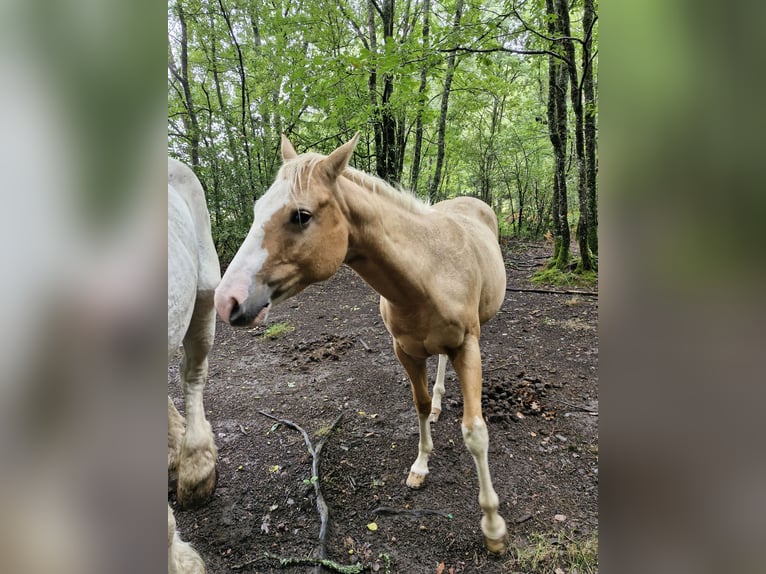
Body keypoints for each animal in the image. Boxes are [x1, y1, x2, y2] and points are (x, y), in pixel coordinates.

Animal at [214, 134, 509, 554]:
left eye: (301, 215)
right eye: (258, 209)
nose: (227, 301)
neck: (429, 274)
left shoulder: (468, 347)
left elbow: (475, 432)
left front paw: (493, 527)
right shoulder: (405, 351)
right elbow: (419, 406)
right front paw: (421, 465)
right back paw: (439, 403)